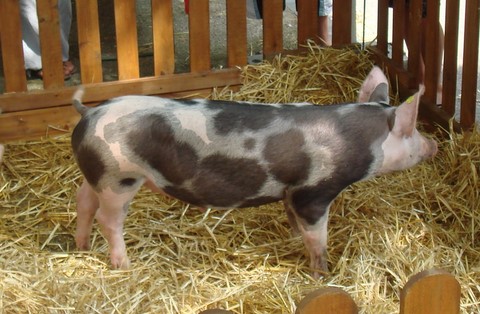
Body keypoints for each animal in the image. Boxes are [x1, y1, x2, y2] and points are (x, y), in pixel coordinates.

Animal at [72, 66, 438, 278]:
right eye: (412, 132)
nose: (434, 145)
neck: (352, 137)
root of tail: (89, 114)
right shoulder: (313, 191)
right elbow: (317, 237)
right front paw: (323, 274)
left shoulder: (290, 190)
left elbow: (293, 220)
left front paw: (293, 239)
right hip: (119, 178)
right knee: (108, 219)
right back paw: (123, 266)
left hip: (98, 176)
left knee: (83, 202)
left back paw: (82, 248)